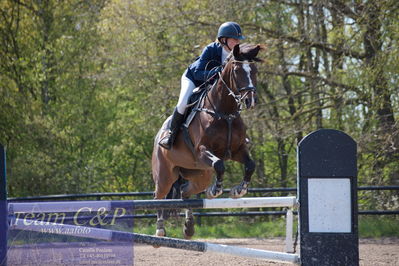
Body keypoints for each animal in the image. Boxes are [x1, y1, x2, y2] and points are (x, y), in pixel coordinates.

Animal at [152, 43, 264, 239]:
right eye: (236, 71)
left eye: (255, 70)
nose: (250, 100)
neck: (225, 112)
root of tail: (158, 135)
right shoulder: (202, 150)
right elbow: (219, 164)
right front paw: (215, 190)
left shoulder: (237, 150)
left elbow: (250, 165)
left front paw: (238, 190)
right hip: (165, 175)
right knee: (159, 197)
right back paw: (160, 230)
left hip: (199, 175)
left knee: (184, 191)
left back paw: (189, 227)